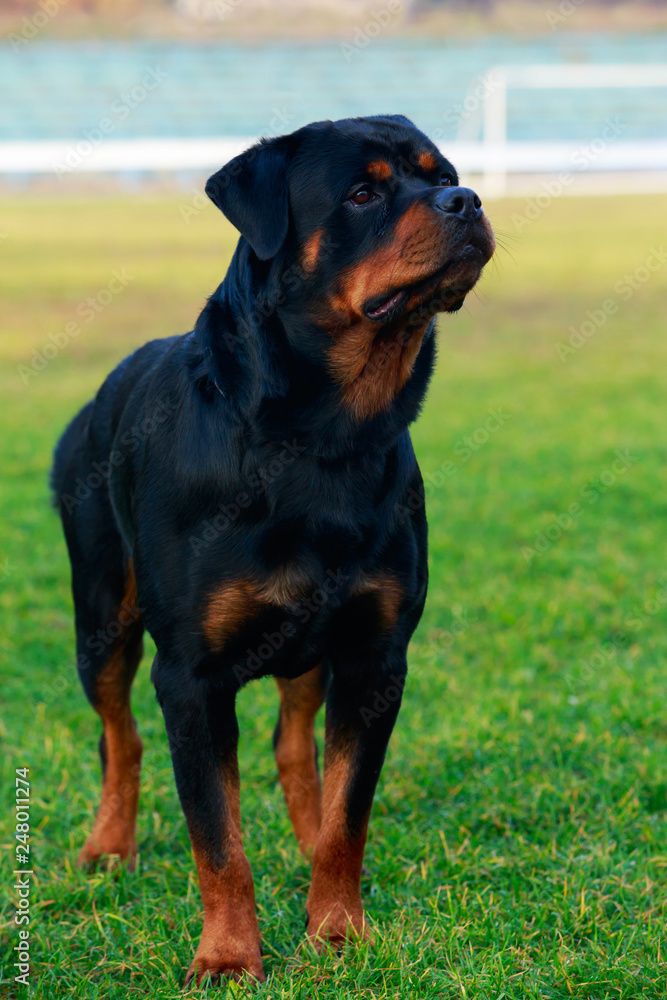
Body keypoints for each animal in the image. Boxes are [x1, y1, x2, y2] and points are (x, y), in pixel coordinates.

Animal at [52, 113, 496, 980]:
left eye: (440, 175)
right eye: (360, 194)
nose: (464, 199)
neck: (322, 437)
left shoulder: (373, 656)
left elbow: (348, 812)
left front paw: (336, 930)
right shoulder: (190, 677)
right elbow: (217, 840)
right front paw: (228, 958)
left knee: (294, 744)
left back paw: (301, 837)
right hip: (102, 614)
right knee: (118, 734)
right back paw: (108, 846)